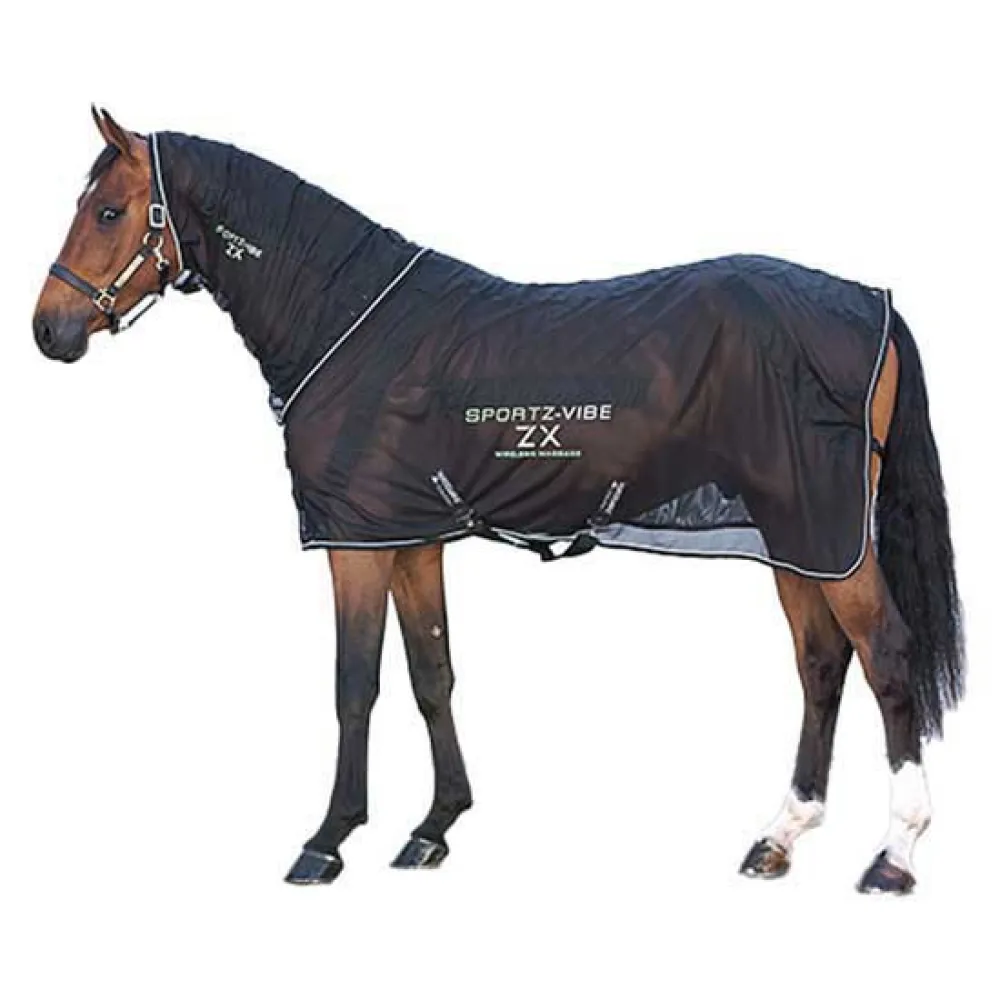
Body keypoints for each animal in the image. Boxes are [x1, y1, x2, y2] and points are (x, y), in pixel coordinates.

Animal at [33, 108, 964, 893]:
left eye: (109, 211)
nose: (49, 330)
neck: (347, 321)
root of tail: (873, 303)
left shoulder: (354, 544)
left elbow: (354, 683)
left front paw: (327, 841)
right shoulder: (409, 538)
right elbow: (432, 674)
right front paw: (433, 829)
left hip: (827, 531)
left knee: (884, 655)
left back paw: (893, 855)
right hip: (799, 533)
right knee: (820, 662)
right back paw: (779, 836)